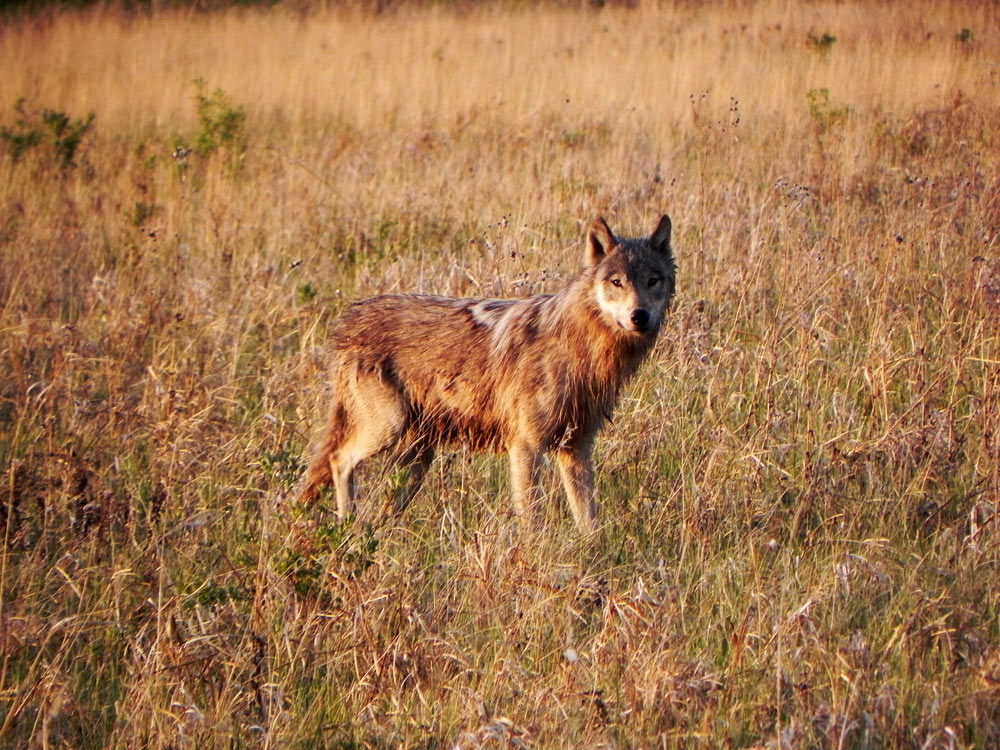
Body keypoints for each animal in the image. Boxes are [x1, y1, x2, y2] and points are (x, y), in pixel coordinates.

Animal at [297, 215, 675, 533]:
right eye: (616, 282)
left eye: (652, 281)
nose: (639, 316)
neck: (581, 345)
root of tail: (349, 317)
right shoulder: (525, 445)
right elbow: (531, 516)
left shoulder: (576, 448)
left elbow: (588, 518)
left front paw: (591, 554)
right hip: (387, 429)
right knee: (338, 460)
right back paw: (347, 524)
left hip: (418, 457)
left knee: (386, 505)